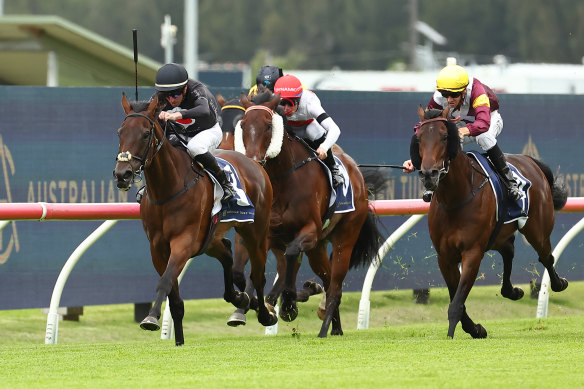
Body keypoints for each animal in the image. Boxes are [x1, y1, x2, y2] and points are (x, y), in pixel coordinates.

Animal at [116, 92, 278, 344]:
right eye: (120, 132)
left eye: (145, 134)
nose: (122, 175)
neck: (167, 190)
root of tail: (253, 163)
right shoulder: (157, 247)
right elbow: (174, 298)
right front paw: (178, 340)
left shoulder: (184, 242)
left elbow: (165, 281)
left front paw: (150, 317)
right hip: (209, 239)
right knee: (227, 253)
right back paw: (239, 296)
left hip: (255, 232)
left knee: (258, 274)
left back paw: (263, 313)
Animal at [237, 91, 384, 336]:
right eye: (242, 125)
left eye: (268, 126)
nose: (253, 162)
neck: (284, 182)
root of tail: (358, 175)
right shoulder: (269, 235)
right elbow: (259, 272)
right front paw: (261, 307)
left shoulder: (310, 231)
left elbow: (291, 255)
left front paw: (288, 304)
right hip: (318, 248)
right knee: (327, 279)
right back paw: (335, 327)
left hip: (344, 239)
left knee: (335, 287)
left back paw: (324, 329)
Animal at [412, 105, 568, 336]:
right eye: (419, 138)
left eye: (444, 136)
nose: (429, 174)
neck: (455, 199)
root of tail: (530, 160)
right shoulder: (445, 257)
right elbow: (456, 297)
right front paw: (475, 328)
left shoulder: (472, 252)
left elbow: (456, 302)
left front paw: (455, 334)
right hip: (498, 234)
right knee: (509, 250)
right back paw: (512, 291)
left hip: (537, 228)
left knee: (546, 256)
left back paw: (559, 283)